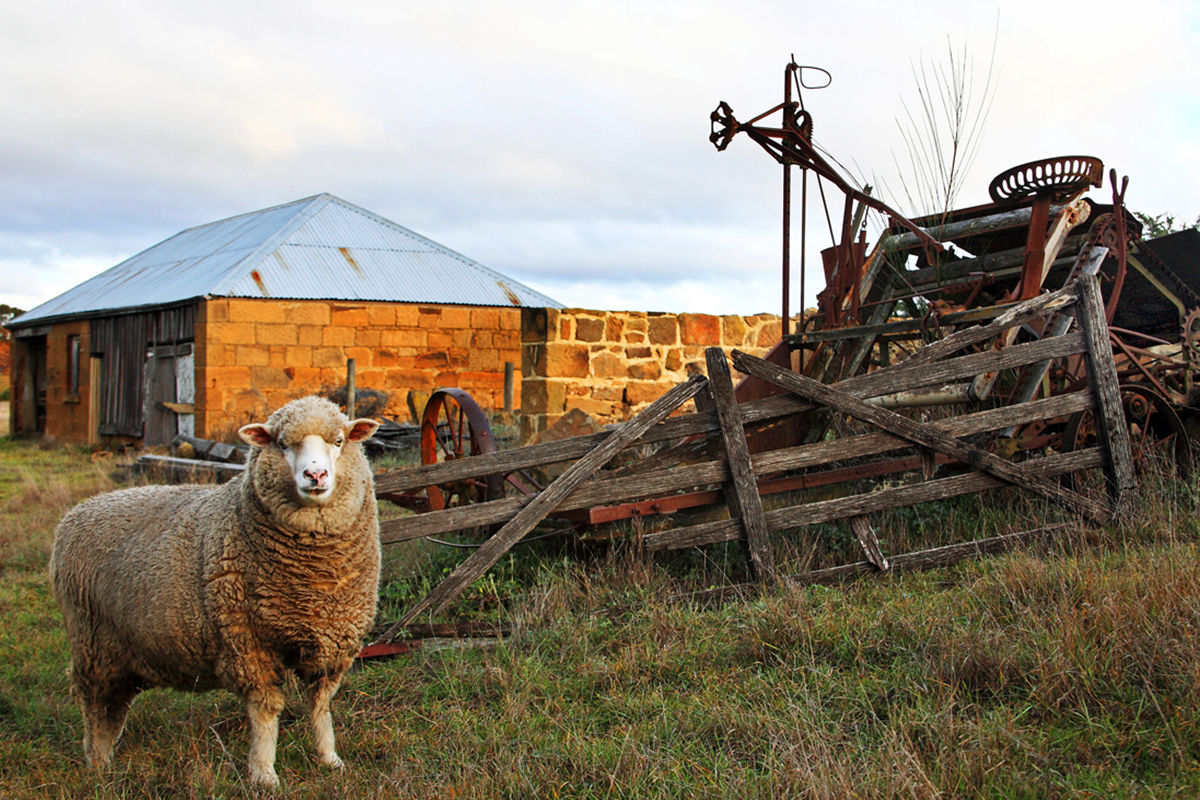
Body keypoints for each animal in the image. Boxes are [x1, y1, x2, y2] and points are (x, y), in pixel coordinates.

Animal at [49, 398, 379, 786]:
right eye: (282, 444)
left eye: (339, 441)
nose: (315, 476)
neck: (314, 578)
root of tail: (77, 511)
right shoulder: (247, 642)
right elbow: (266, 710)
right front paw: (264, 773)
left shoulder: (331, 643)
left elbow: (320, 704)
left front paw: (329, 759)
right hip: (92, 644)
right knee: (94, 705)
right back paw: (97, 763)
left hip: (122, 652)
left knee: (114, 706)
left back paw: (106, 759)